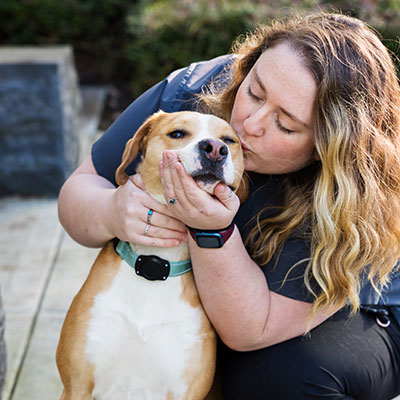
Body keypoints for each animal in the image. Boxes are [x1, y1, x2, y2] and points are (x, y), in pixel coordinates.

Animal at [54, 110, 245, 400]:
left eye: (229, 140)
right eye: (177, 133)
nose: (215, 149)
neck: (155, 264)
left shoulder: (185, 390)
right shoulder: (76, 385)